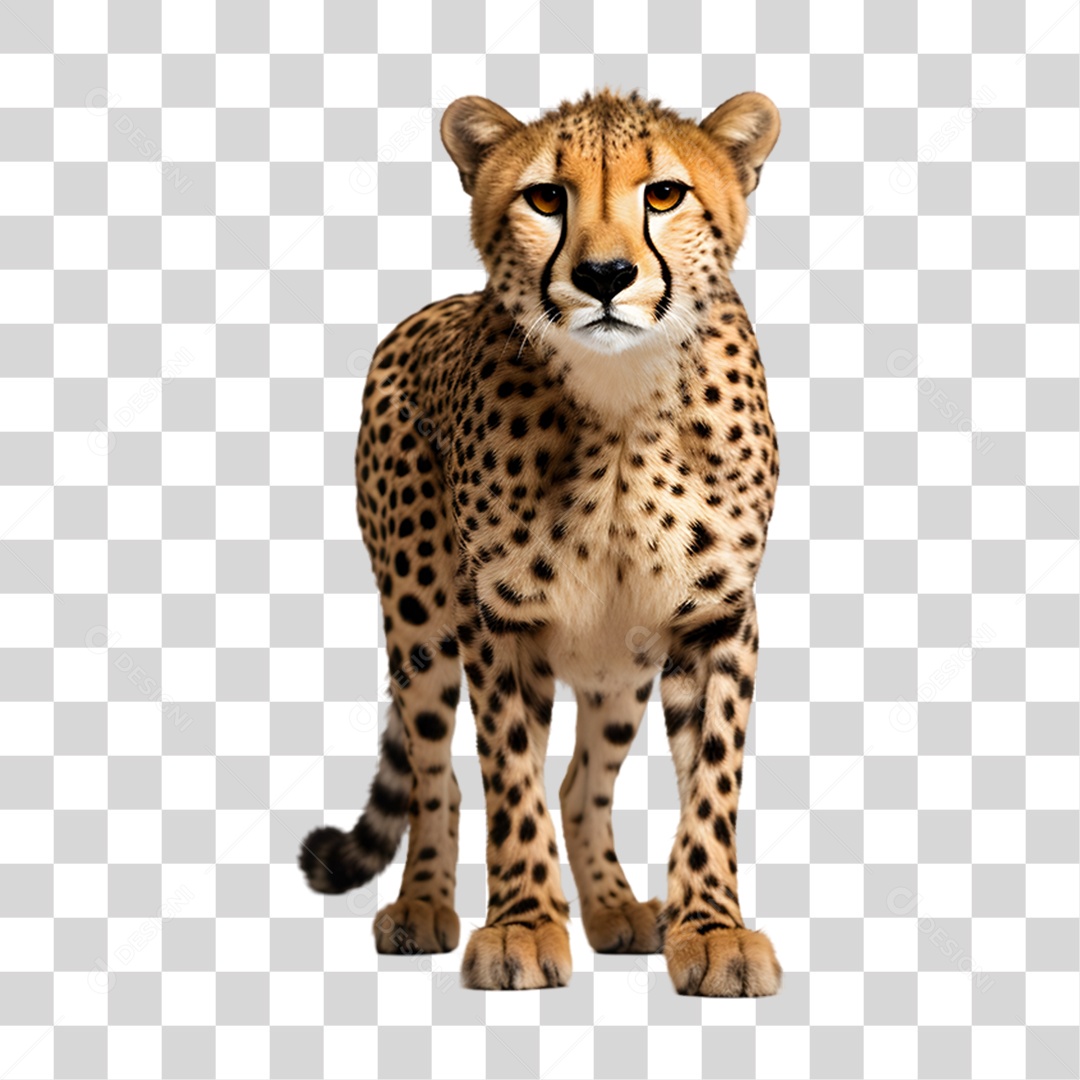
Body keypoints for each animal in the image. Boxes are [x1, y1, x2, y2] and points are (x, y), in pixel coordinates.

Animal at [300, 88, 783, 996]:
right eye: (546, 197)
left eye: (665, 194)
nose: (604, 276)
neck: (623, 402)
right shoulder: (501, 618)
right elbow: (508, 779)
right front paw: (523, 925)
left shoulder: (712, 615)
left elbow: (711, 783)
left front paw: (711, 929)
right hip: (417, 618)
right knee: (436, 776)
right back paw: (423, 906)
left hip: (621, 664)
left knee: (582, 783)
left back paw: (618, 910)